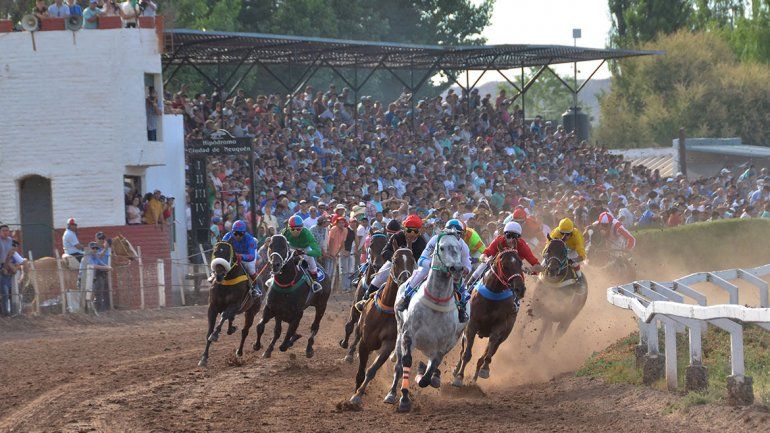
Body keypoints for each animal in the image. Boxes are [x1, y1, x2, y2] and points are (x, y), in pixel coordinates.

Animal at [348, 248, 414, 405]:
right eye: (395, 260)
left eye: (413, 260)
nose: (405, 281)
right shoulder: (365, 342)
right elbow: (361, 371)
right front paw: (356, 394)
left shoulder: (389, 343)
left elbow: (372, 370)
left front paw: (359, 393)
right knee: (355, 334)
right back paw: (350, 353)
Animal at [392, 233, 467, 413]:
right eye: (441, 247)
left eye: (459, 248)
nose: (457, 269)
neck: (437, 301)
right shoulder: (408, 335)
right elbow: (406, 362)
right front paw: (404, 399)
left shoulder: (443, 344)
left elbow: (432, 367)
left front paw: (425, 377)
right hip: (399, 330)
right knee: (398, 365)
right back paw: (391, 394)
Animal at [452, 249, 527, 386]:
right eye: (505, 265)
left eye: (520, 263)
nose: (520, 289)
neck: (494, 293)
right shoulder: (472, 324)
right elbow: (466, 354)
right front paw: (459, 377)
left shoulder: (500, 325)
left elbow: (490, 346)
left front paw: (485, 369)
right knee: (462, 350)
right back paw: (456, 370)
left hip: (504, 337)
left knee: (489, 351)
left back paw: (474, 379)